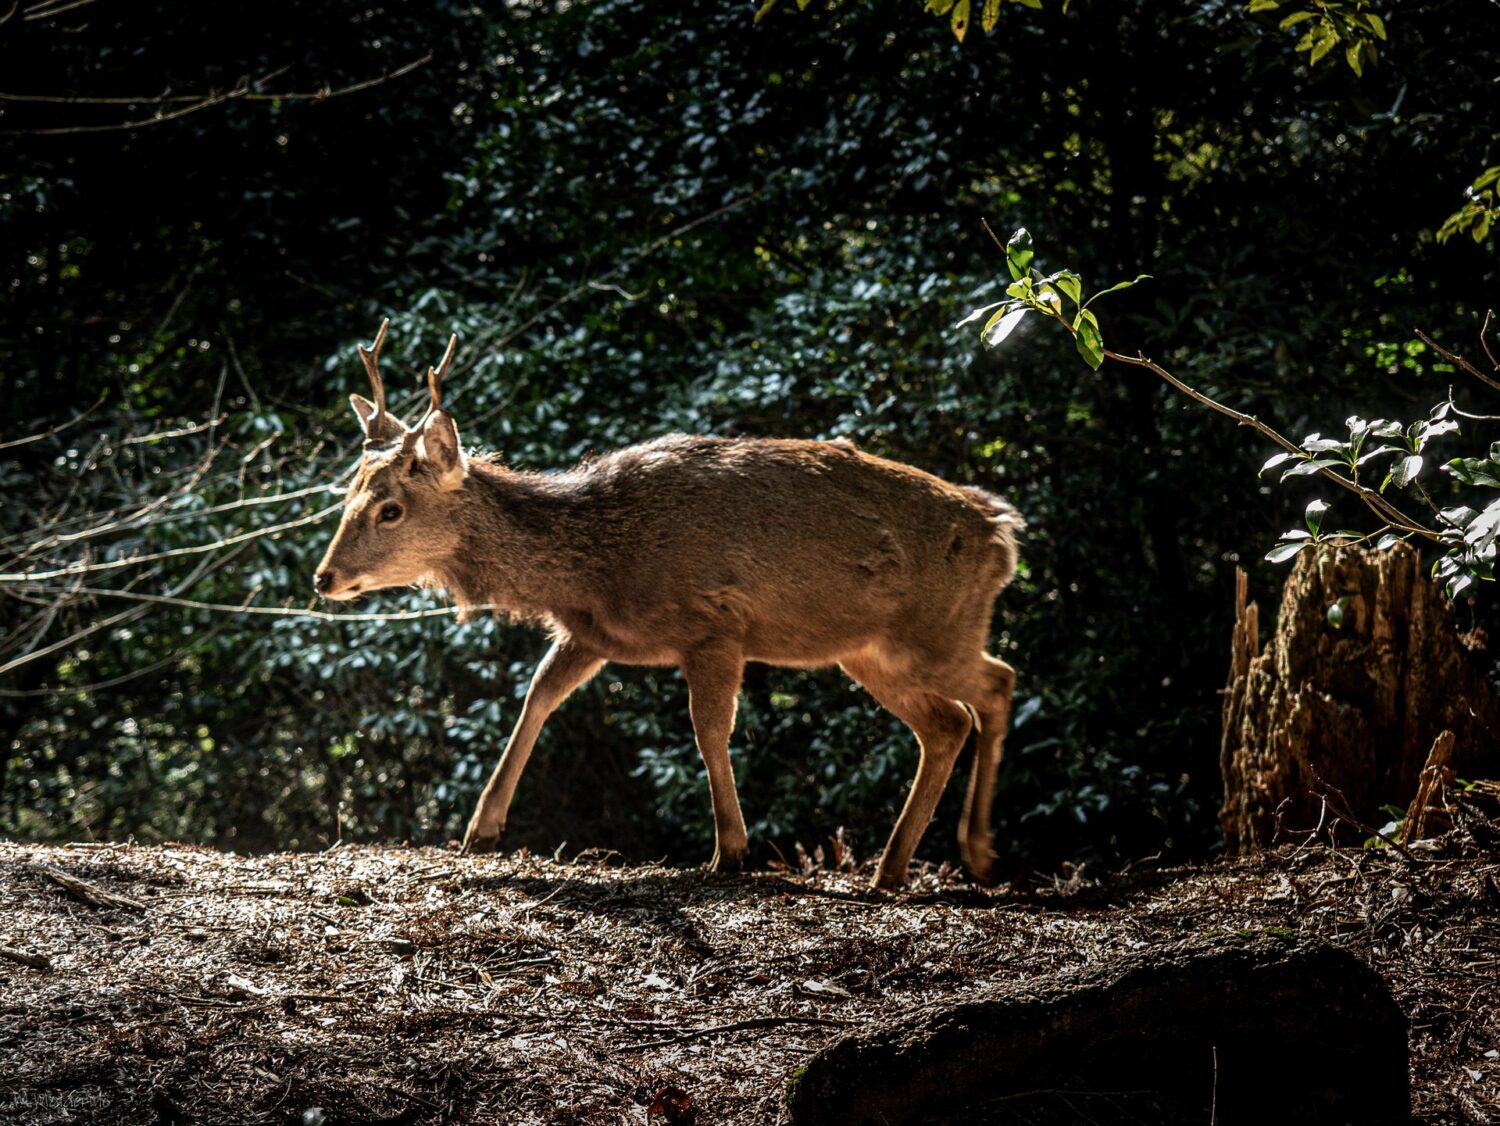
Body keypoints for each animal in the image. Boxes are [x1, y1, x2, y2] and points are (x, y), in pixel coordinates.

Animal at [314, 320, 1023, 890]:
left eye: (390, 508)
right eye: (348, 492)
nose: (324, 578)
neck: (599, 559)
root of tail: (1003, 534)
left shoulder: (716, 627)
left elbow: (708, 729)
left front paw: (729, 851)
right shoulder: (594, 635)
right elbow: (538, 694)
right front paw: (479, 830)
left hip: (935, 632)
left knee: (997, 682)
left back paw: (978, 854)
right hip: (866, 651)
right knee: (948, 721)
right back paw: (896, 868)